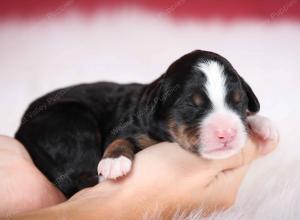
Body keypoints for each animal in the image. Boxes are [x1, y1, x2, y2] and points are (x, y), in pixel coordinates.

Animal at [15, 50, 278, 198]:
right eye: (191, 105)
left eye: (237, 101)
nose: (226, 133)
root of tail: (23, 125)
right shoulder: (130, 126)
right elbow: (120, 138)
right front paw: (114, 161)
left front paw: (263, 124)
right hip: (74, 118)